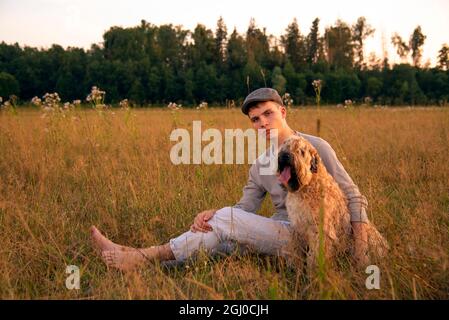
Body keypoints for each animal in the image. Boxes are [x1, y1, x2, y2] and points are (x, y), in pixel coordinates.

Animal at [274, 134, 386, 270]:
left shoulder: (320, 230)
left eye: (301, 151)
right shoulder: (297, 226)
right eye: (285, 146)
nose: (285, 155)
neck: (307, 185)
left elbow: (315, 256)